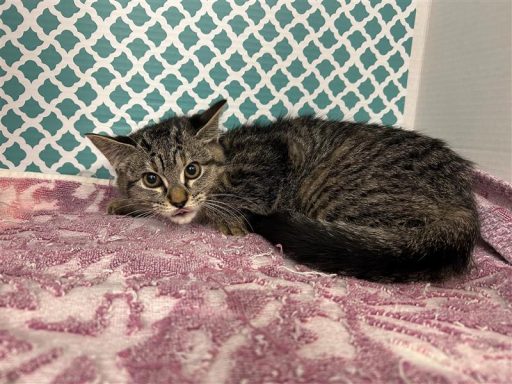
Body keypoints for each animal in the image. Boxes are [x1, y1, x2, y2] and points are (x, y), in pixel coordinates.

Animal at [86, 100, 478, 282]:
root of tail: (463, 201)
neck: (227, 156)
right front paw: (128, 203)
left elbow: (218, 204)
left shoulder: (266, 165)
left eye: (192, 170)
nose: (178, 199)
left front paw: (221, 216)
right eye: (152, 179)